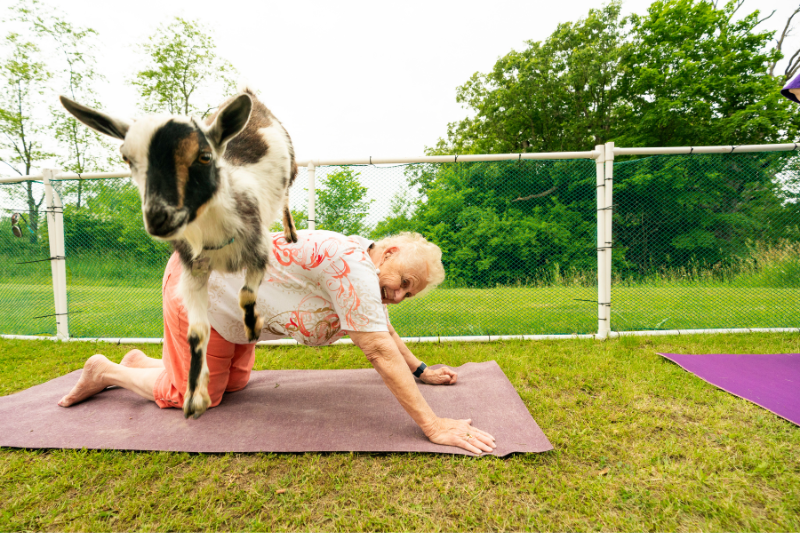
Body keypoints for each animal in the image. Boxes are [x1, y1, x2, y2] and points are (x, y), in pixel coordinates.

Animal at [59, 86, 296, 420]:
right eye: (126, 158)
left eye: (204, 156)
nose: (158, 218)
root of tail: (250, 98)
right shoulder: (193, 271)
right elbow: (196, 332)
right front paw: (195, 397)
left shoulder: (259, 253)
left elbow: (247, 295)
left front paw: (253, 328)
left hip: (291, 170)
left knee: (286, 199)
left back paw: (290, 233)